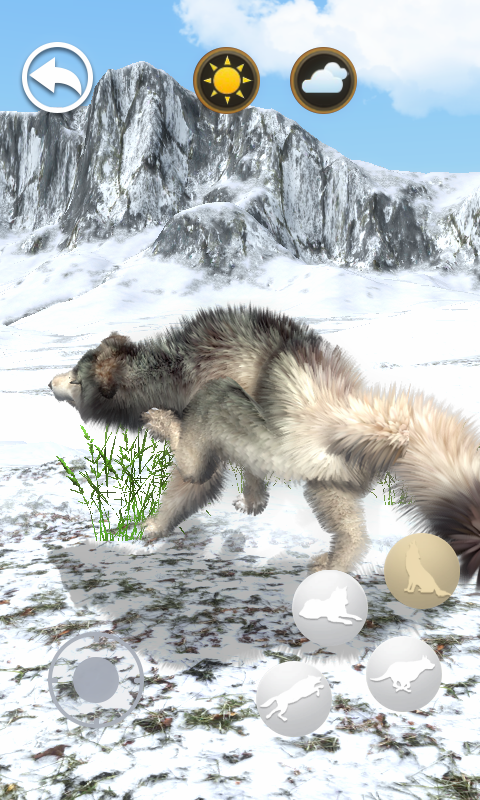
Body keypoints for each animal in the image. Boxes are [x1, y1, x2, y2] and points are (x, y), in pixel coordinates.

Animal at [49, 304, 480, 584]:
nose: (48, 382)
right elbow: (198, 488)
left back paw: (165, 426)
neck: (162, 372)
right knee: (353, 530)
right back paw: (336, 562)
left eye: (74, 377)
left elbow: (197, 475)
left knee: (203, 434)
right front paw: (156, 527)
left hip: (255, 419)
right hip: (329, 479)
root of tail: (342, 406)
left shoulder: (200, 414)